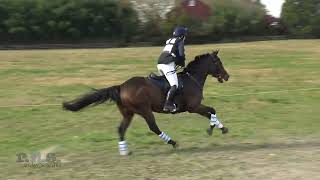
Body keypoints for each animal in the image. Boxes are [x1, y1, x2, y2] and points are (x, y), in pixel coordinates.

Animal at [62, 50, 230, 155]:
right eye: (218, 62)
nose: (227, 76)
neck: (192, 79)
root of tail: (121, 86)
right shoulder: (193, 107)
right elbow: (212, 110)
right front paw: (214, 128)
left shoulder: (195, 107)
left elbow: (212, 111)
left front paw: (220, 128)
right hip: (145, 110)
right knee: (153, 127)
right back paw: (173, 142)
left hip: (128, 113)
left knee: (121, 129)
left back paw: (124, 152)